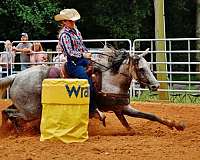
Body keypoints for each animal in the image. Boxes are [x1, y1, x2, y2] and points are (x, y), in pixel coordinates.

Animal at [0, 47, 186, 132]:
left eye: (148, 66)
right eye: (141, 69)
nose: (155, 85)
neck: (111, 80)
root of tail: (16, 76)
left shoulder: (121, 107)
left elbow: (149, 116)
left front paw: (176, 125)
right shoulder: (118, 107)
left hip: (24, 106)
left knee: (7, 111)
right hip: (31, 111)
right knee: (11, 114)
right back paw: (17, 131)